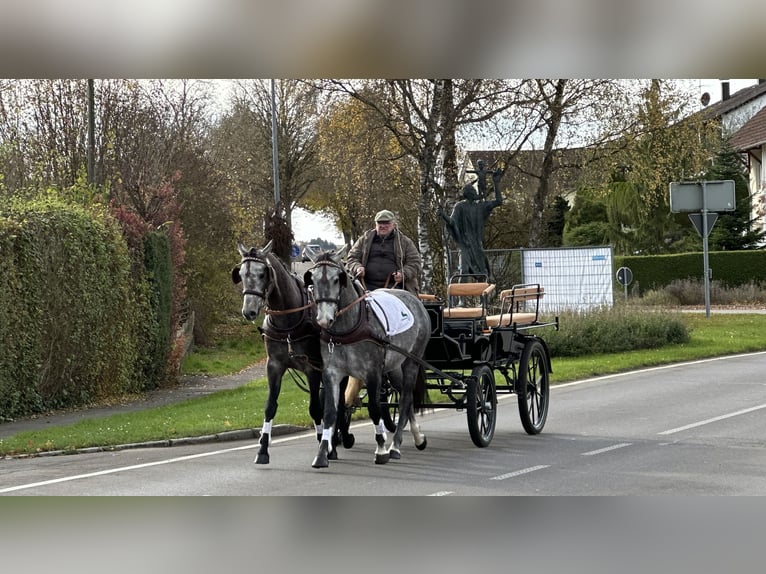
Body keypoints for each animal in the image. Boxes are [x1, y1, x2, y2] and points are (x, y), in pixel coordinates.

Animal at [304, 248, 432, 468]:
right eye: (312, 280)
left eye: (337, 279)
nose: (324, 319)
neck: (349, 328)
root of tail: (415, 299)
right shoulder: (332, 373)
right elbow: (329, 412)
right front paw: (322, 454)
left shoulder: (372, 373)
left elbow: (374, 409)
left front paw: (381, 448)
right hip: (393, 366)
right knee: (404, 397)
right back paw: (418, 437)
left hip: (412, 360)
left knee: (406, 398)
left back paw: (395, 446)